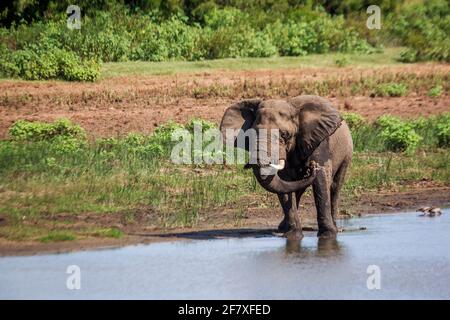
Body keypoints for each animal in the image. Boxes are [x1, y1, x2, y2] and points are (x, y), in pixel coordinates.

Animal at [220, 94, 354, 239]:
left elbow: (321, 181)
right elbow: (285, 184)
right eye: (251, 134)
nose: (311, 168)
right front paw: (293, 235)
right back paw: (283, 228)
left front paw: (327, 235)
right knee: (296, 188)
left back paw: (335, 227)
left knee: (335, 186)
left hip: (347, 153)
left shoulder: (319, 141)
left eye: (285, 134)